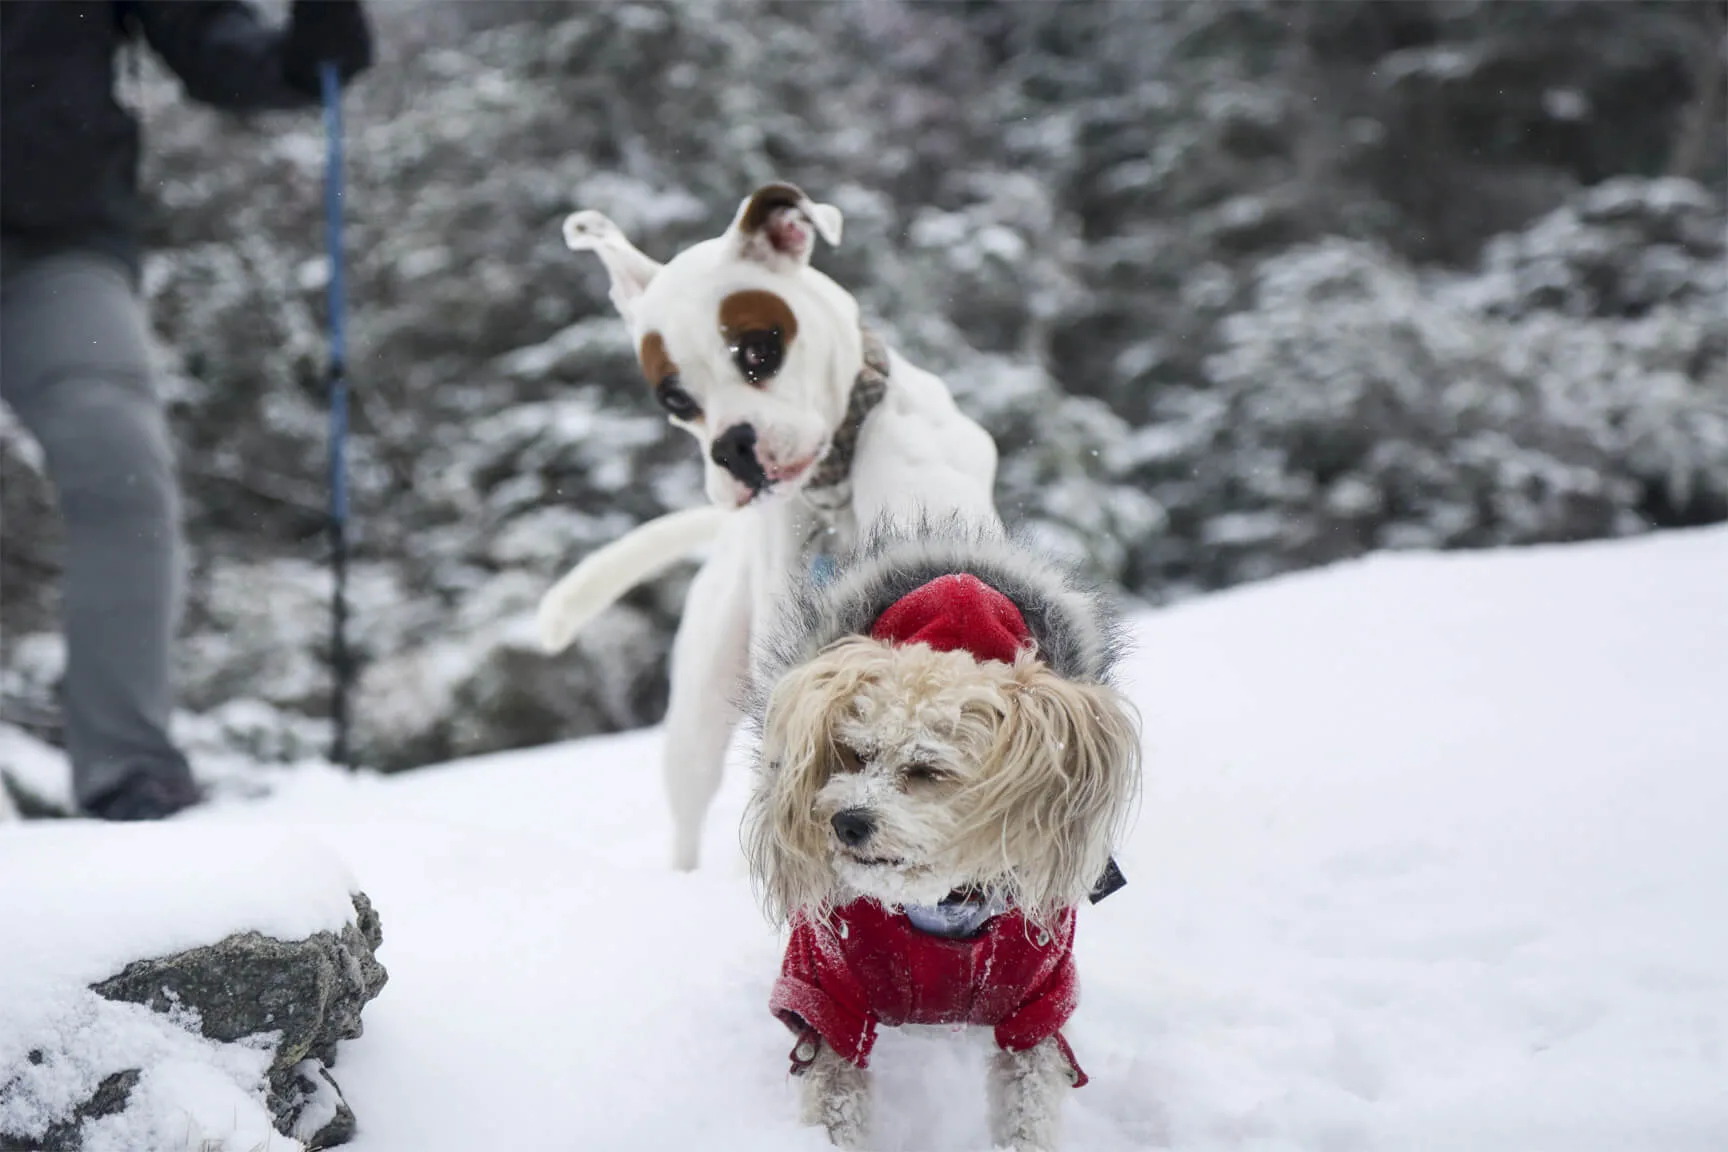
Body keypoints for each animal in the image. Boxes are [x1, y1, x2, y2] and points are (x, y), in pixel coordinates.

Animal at [746, 525, 1140, 1152]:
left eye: (927, 770)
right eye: (853, 754)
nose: (845, 821)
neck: (940, 907)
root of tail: (958, 580)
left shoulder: (1038, 1000)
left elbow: (1028, 1101)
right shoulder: (826, 992)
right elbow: (834, 1092)